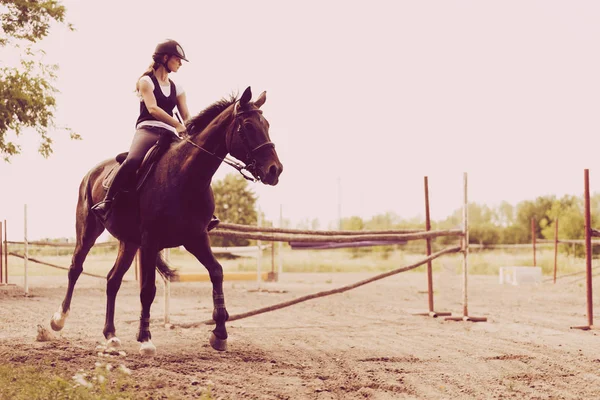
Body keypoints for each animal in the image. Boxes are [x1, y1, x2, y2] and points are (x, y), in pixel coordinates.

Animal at [49, 87, 284, 356]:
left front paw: (220, 333)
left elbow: (216, 272)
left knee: (112, 280)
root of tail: (92, 172)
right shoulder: (151, 242)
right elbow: (148, 290)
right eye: (247, 126)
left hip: (129, 243)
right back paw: (58, 320)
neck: (186, 176)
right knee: (75, 268)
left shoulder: (195, 237)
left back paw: (111, 335)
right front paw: (145, 339)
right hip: (88, 231)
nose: (275, 170)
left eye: (266, 124)